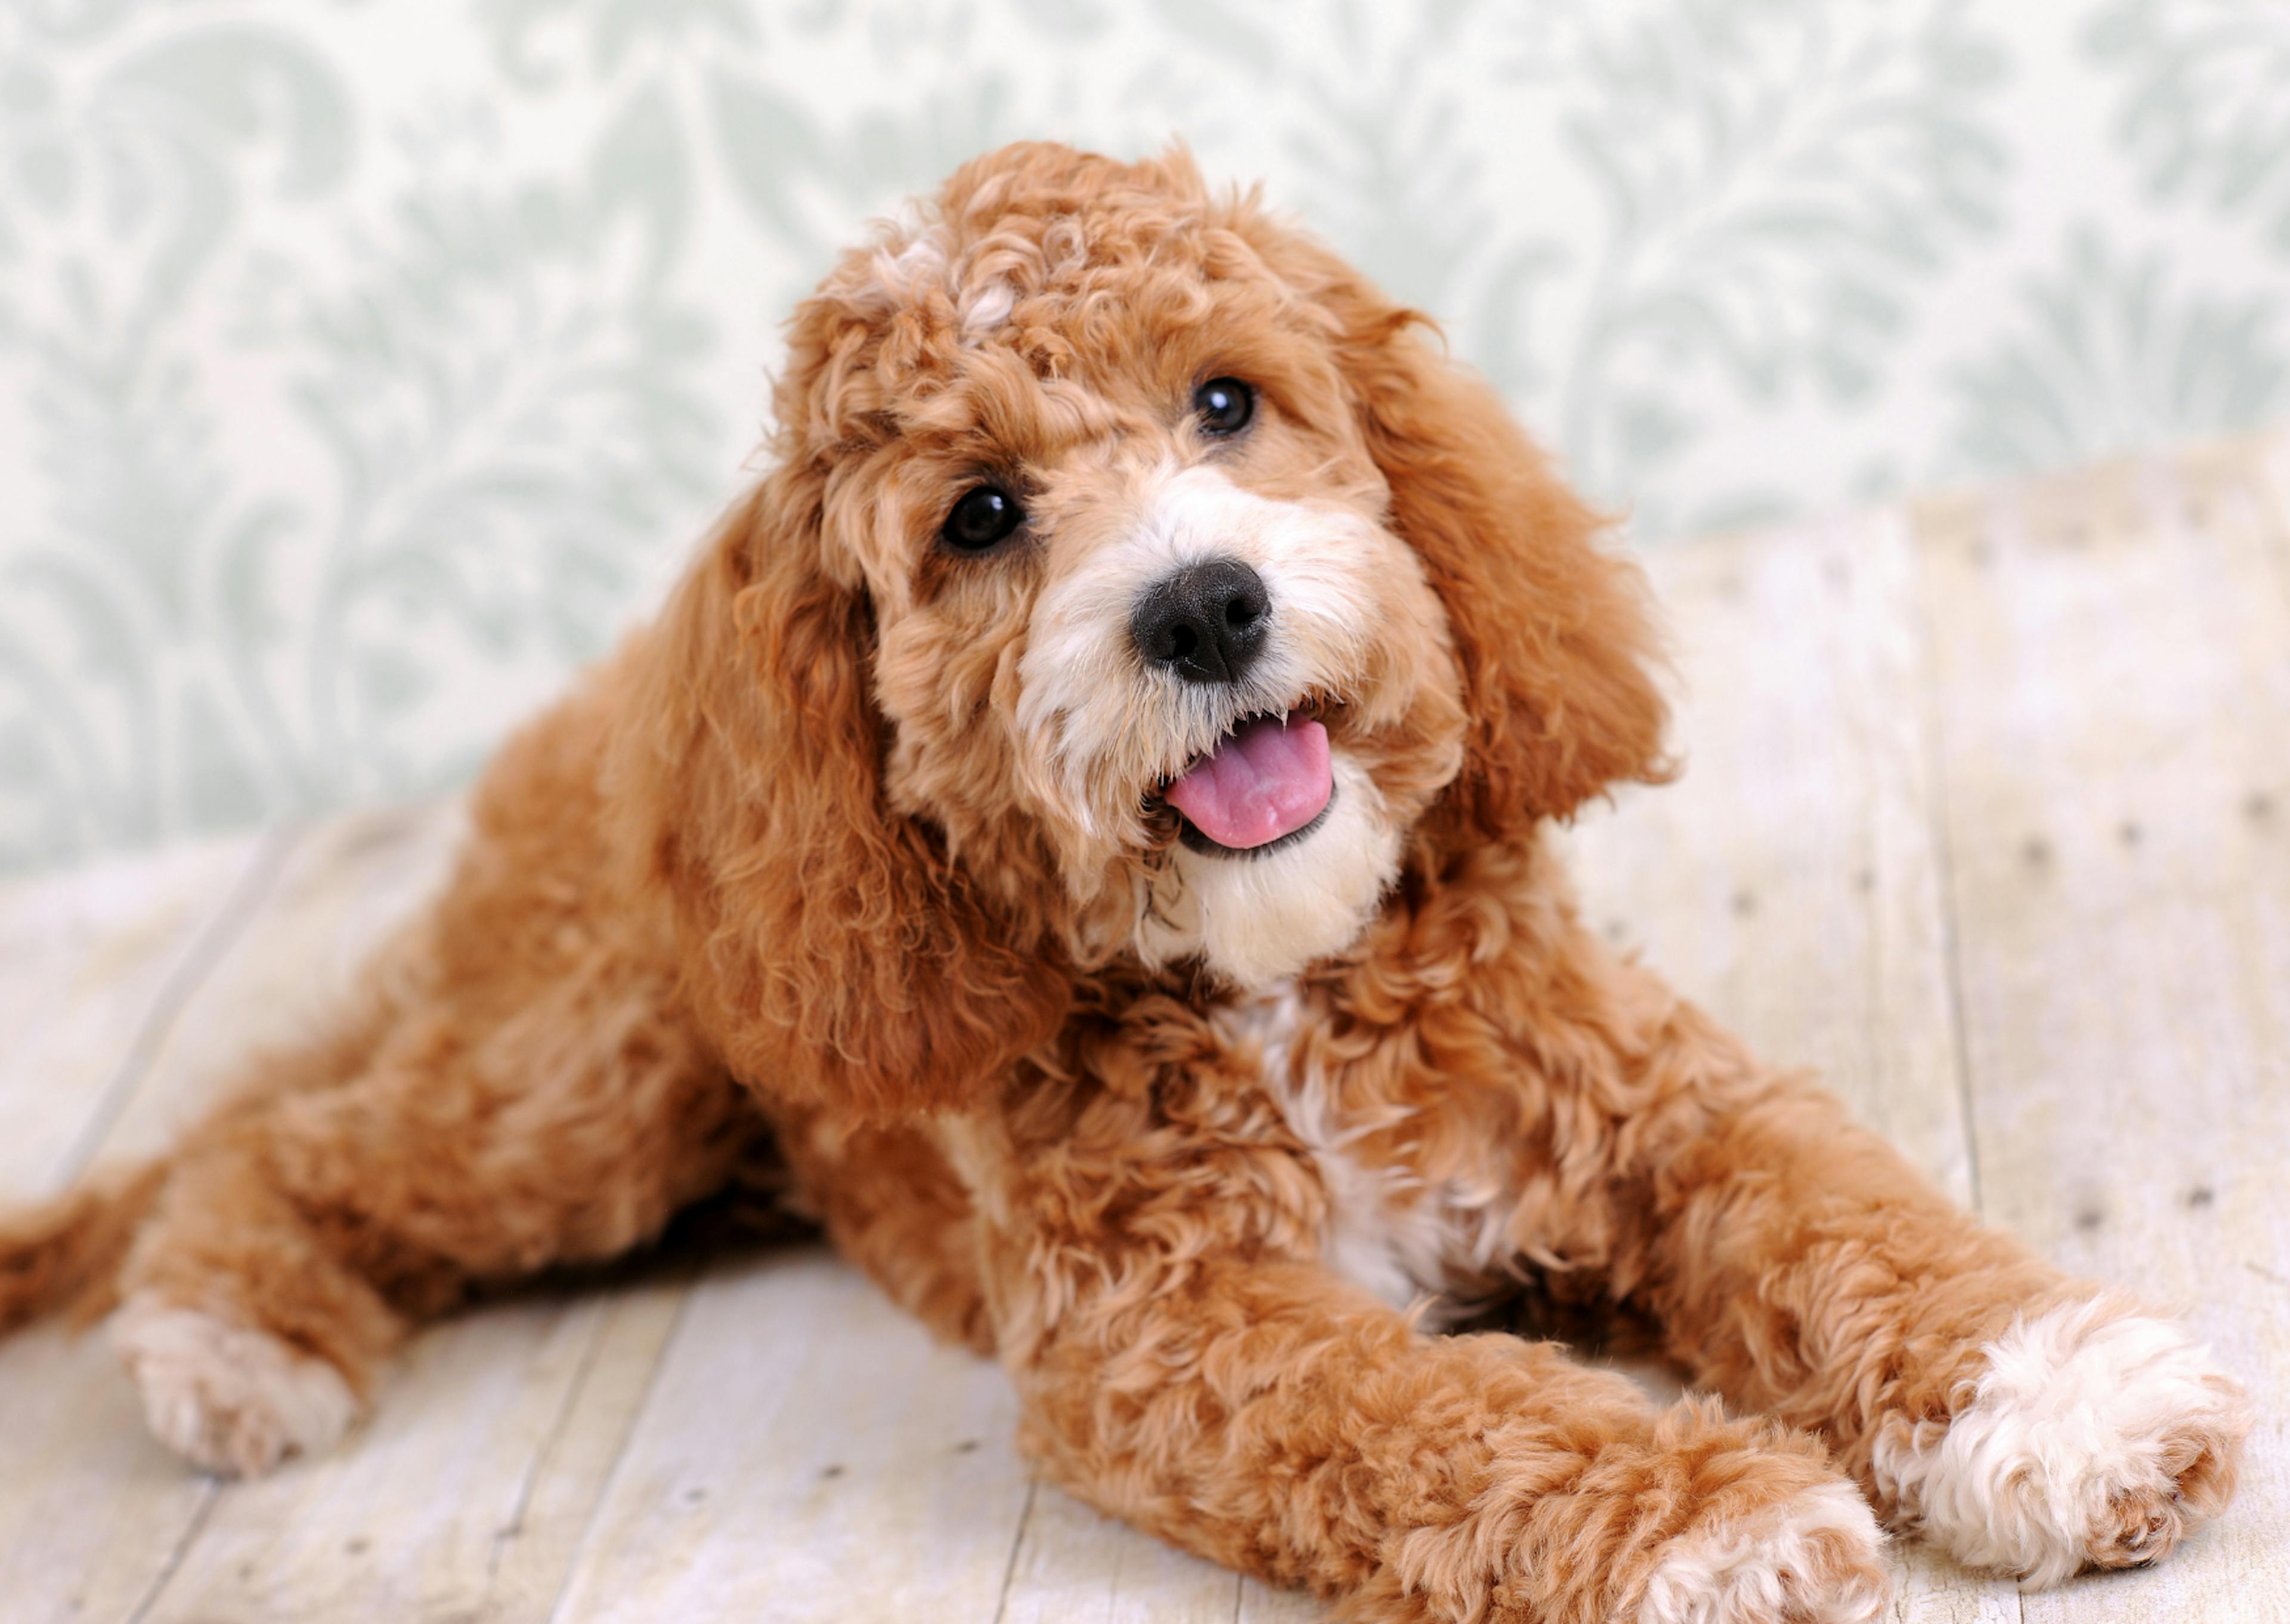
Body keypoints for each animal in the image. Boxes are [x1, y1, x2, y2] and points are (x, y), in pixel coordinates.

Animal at [0, 145, 2253, 1612]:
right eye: (982, 514)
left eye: (1228, 399)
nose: (1201, 603)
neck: (1274, 977)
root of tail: (606, 721)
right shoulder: (1174, 1335)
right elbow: (1450, 1412)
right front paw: (1715, 1518)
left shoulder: (1658, 1103)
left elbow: (1848, 1218)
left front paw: (2064, 1399)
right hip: (590, 1082)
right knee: (304, 1148)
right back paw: (229, 1337)